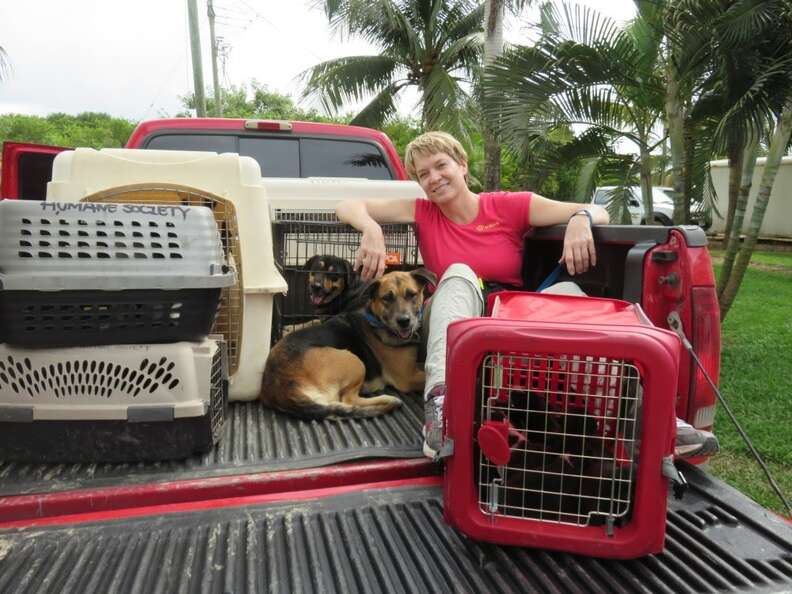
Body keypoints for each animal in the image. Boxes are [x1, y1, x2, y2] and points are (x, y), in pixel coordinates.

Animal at [260, 268, 434, 416]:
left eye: (411, 294)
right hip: (354, 361)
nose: (404, 321)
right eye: (386, 298)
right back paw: (388, 399)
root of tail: (281, 390)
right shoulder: (407, 378)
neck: (377, 321)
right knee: (349, 400)